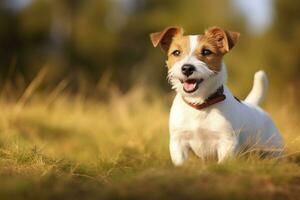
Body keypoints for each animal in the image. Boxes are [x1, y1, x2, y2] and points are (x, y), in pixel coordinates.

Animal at [150, 25, 284, 165]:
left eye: (206, 52)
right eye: (176, 52)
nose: (187, 68)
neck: (200, 104)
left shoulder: (227, 142)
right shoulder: (178, 142)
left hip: (273, 150)